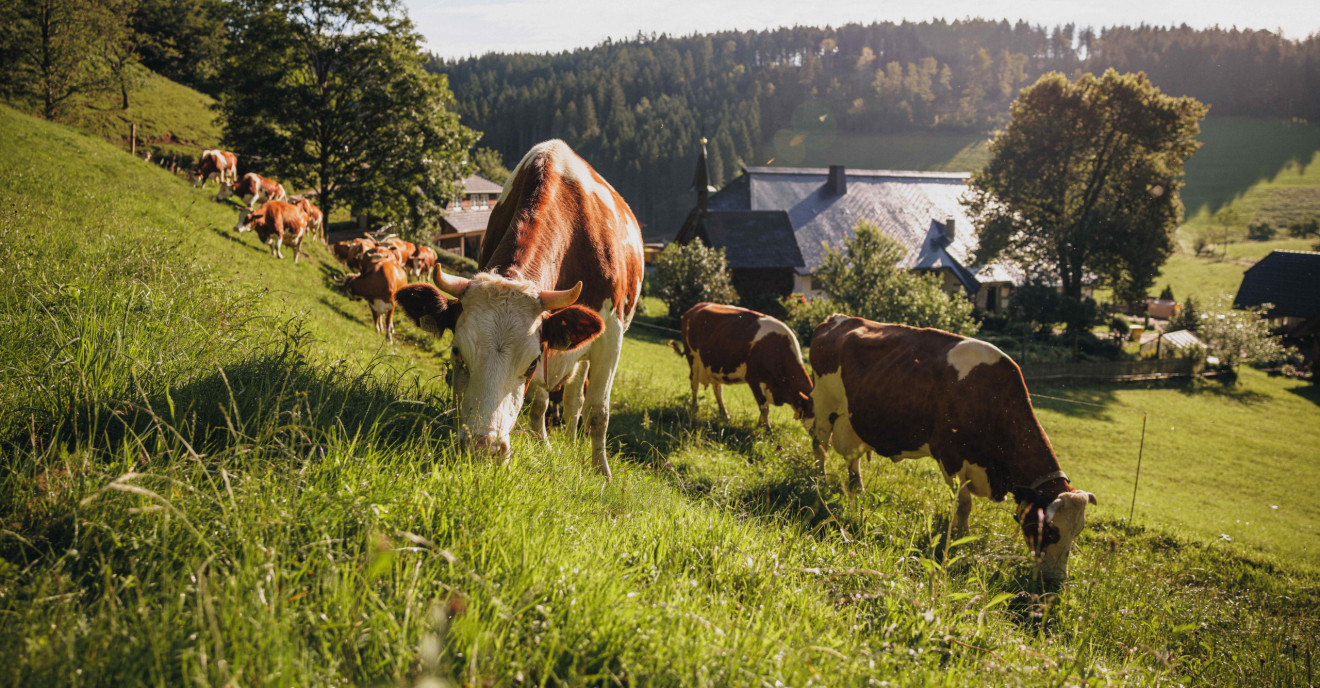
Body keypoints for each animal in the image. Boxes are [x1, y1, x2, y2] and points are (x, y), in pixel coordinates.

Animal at [401, 137, 649, 472]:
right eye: (456, 352)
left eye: (531, 362)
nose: (483, 449)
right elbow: (539, 402)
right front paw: (543, 446)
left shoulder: (611, 335)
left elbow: (598, 412)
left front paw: (601, 472)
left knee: (575, 402)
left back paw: (573, 444)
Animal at [670, 302, 813, 425]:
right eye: (813, 413)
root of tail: (694, 308)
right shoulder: (754, 379)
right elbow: (764, 407)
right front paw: (767, 430)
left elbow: (765, 408)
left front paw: (761, 425)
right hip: (693, 358)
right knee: (694, 384)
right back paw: (695, 407)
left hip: (713, 365)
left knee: (717, 389)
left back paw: (724, 414)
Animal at [807, 314, 1098, 581]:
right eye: (1051, 531)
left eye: (1078, 531)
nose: (1056, 580)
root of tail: (837, 319)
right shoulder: (949, 455)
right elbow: (964, 503)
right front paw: (963, 537)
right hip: (823, 403)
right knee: (819, 443)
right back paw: (819, 480)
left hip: (852, 418)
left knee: (852, 457)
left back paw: (857, 487)